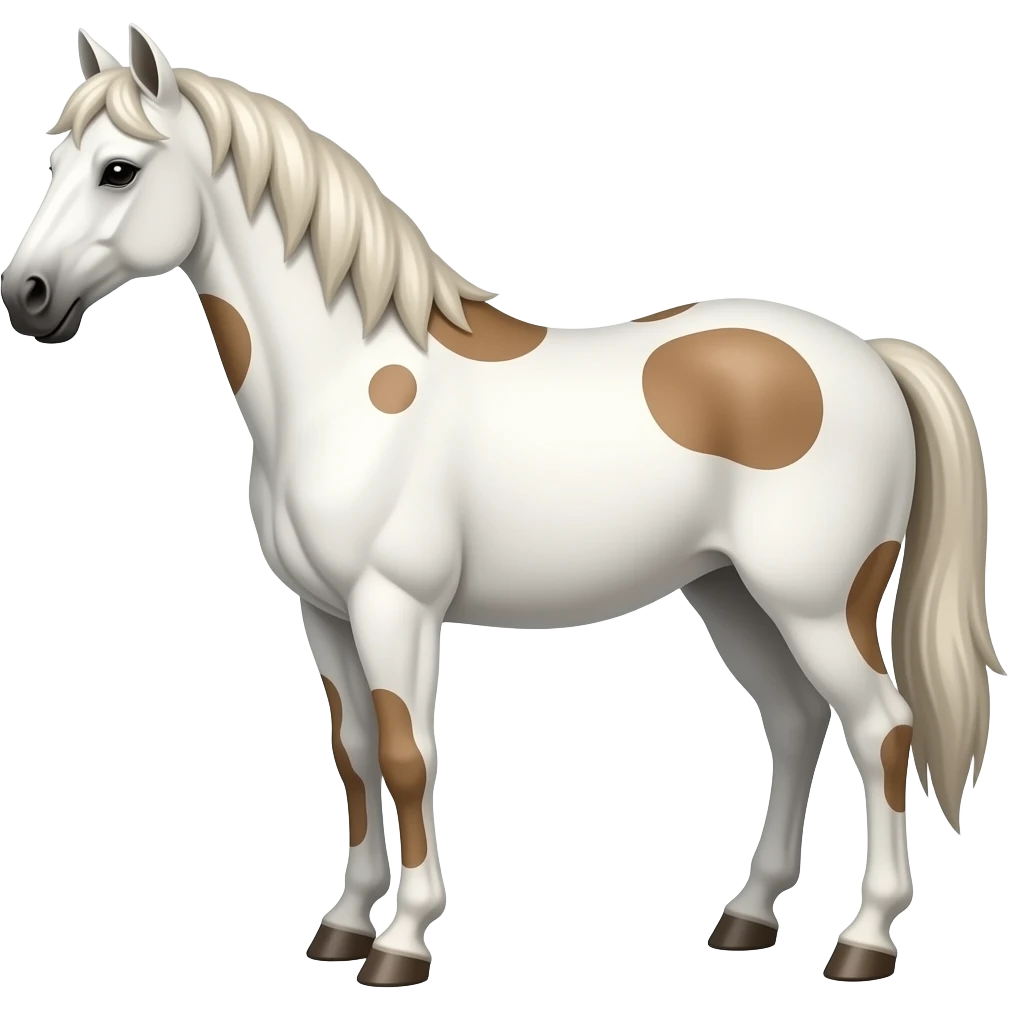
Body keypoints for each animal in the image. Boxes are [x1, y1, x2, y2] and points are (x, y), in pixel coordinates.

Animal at [3, 25, 1004, 987]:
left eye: (120, 169)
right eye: (55, 159)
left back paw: (864, 941)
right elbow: (353, 757)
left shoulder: (395, 606)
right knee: (796, 722)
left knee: (883, 728)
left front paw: (402, 943)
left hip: (816, 603)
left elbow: (407, 757)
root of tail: (870, 357)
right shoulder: (324, 613)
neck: (346, 382)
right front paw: (341, 927)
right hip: (731, 594)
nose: (27, 296)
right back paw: (748, 918)